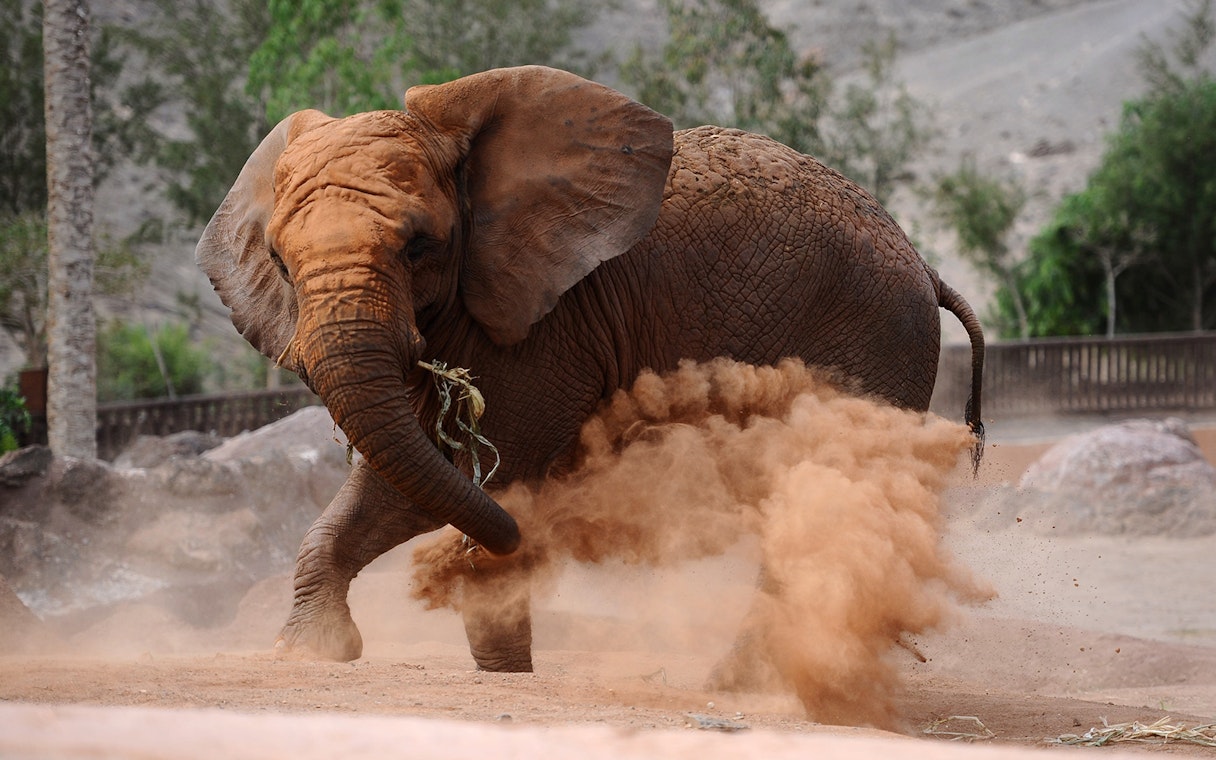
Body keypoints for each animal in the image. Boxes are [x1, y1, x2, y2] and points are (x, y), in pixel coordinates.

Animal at [197, 65, 985, 672]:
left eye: (420, 246)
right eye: (279, 262)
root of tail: (923, 264)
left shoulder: (549, 325)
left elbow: (472, 475)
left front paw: (500, 647)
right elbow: (401, 475)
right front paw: (313, 652)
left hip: (878, 338)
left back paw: (750, 681)